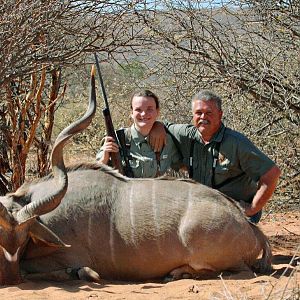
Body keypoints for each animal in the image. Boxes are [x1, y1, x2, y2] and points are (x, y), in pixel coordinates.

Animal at [0, 71, 272, 288]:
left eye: (23, 240)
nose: (10, 278)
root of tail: (251, 228)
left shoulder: (67, 255)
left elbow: (67, 269)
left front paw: (84, 274)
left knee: (236, 271)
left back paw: (177, 273)